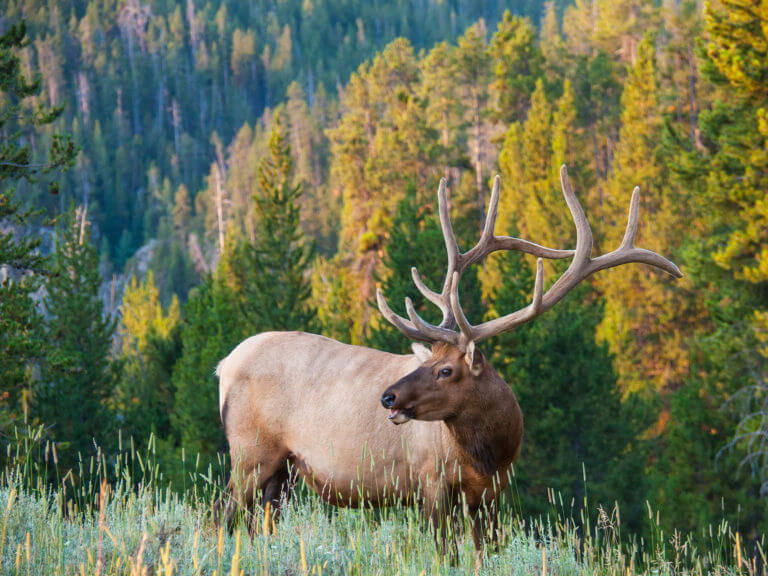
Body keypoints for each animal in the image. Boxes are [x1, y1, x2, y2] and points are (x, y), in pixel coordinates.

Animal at [213, 165, 680, 552]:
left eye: (444, 369)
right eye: (426, 363)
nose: (388, 397)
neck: (490, 451)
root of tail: (223, 365)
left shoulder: (490, 494)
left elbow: (485, 553)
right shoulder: (430, 480)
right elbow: (444, 552)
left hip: (284, 470)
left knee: (259, 523)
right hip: (250, 451)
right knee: (225, 515)